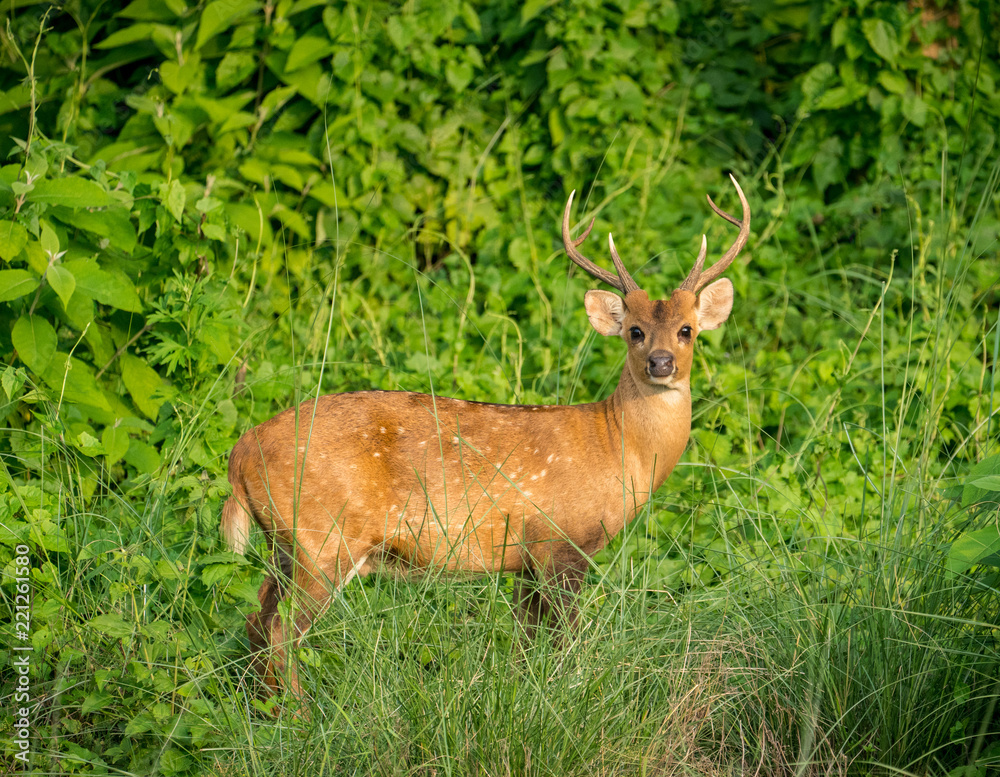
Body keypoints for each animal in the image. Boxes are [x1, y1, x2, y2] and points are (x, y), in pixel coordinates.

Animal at [221, 177, 752, 696]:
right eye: (636, 331)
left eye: (687, 329)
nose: (661, 363)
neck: (618, 447)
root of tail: (240, 453)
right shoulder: (561, 542)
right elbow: (567, 644)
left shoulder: (525, 559)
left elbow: (525, 643)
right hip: (323, 538)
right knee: (280, 629)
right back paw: (300, 711)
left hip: (288, 543)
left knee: (255, 617)